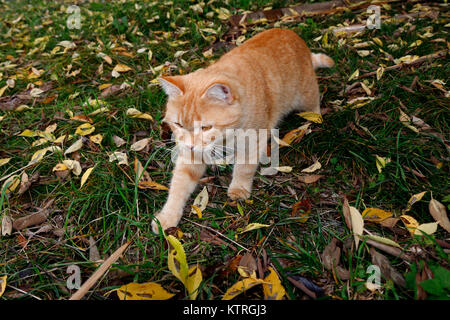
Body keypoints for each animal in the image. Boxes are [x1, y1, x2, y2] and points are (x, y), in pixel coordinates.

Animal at [153, 28, 332, 232]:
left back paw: (314, 120)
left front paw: (239, 189)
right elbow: (179, 185)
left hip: (306, 97)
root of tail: (290, 33)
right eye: (179, 125)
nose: (190, 146)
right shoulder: (192, 155)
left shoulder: (254, 140)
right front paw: (167, 216)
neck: (227, 135)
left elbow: (245, 168)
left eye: (206, 127)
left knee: (314, 104)